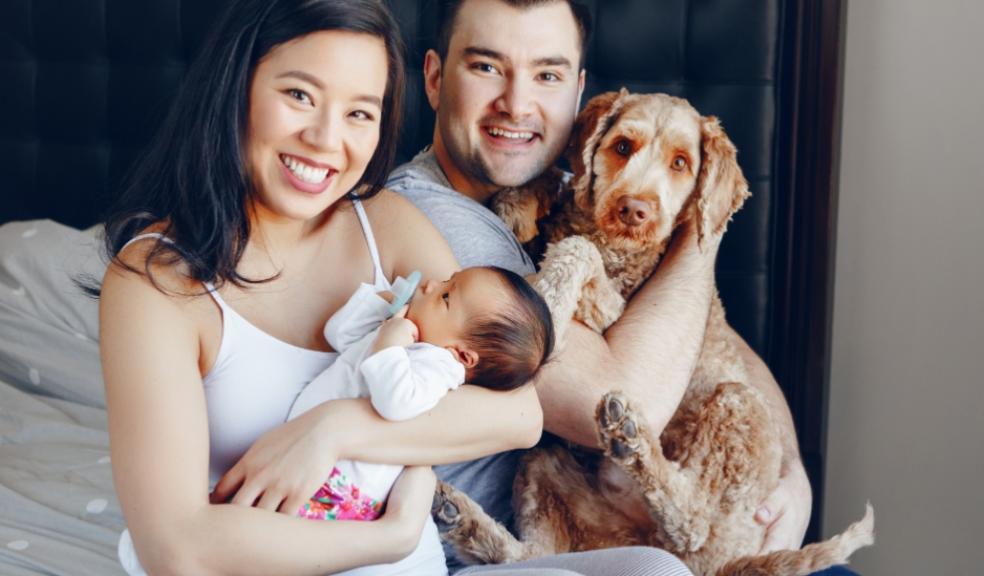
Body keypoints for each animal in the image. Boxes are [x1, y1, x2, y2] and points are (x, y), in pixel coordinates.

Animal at [432, 90, 876, 576]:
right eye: (623, 146)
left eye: (681, 163)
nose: (634, 210)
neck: (614, 244)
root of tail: (726, 561)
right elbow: (558, 191)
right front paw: (520, 203)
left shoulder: (617, 311)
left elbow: (576, 251)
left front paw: (547, 296)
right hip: (544, 463)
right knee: (533, 554)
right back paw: (461, 519)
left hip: (738, 408)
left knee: (692, 521)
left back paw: (633, 440)